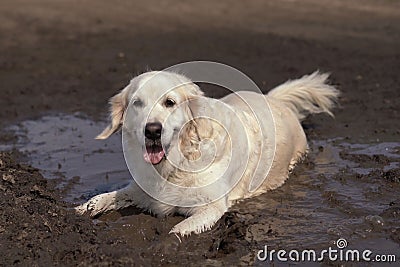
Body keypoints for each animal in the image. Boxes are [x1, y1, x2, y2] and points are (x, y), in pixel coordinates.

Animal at [76, 70, 340, 237]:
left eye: (170, 102)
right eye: (137, 103)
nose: (152, 130)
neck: (175, 164)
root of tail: (274, 99)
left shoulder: (211, 206)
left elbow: (178, 230)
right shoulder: (140, 190)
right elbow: (103, 198)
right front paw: (78, 211)